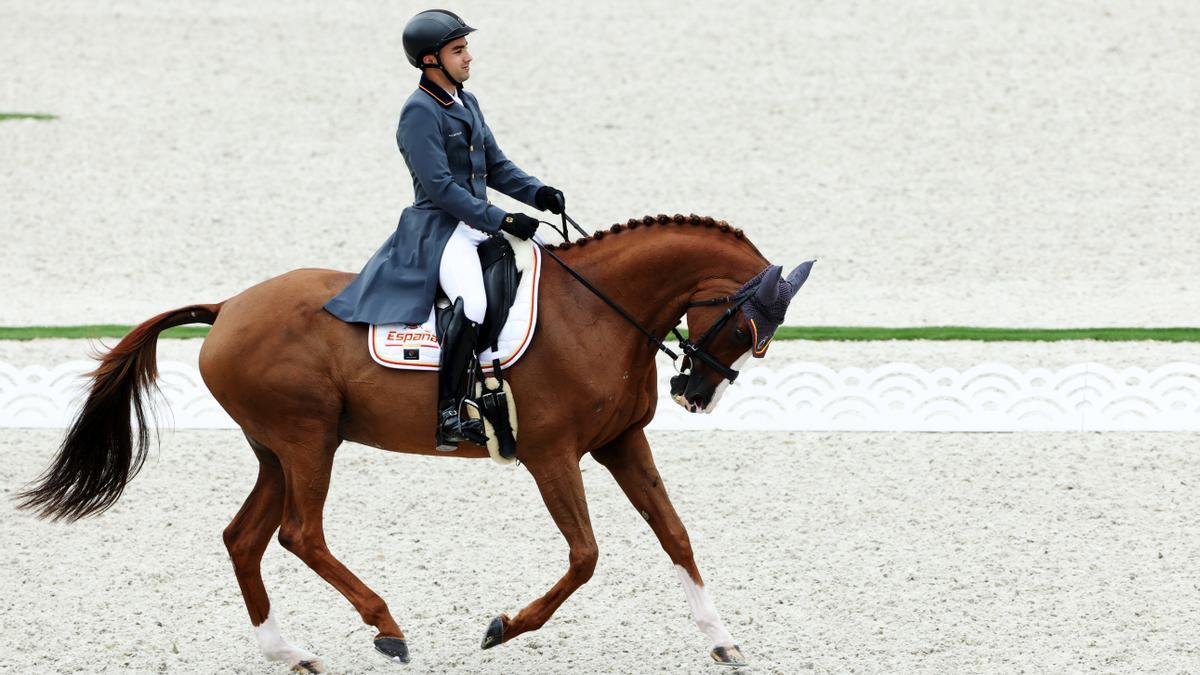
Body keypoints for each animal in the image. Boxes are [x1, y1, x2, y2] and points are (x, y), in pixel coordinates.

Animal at [18, 212, 811, 667]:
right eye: (748, 327)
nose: (694, 394)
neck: (595, 311)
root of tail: (230, 305)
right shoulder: (552, 454)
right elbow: (585, 556)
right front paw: (503, 627)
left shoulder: (621, 443)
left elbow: (675, 534)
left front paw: (722, 639)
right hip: (308, 441)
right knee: (301, 533)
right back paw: (386, 626)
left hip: (278, 449)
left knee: (245, 538)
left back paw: (288, 651)